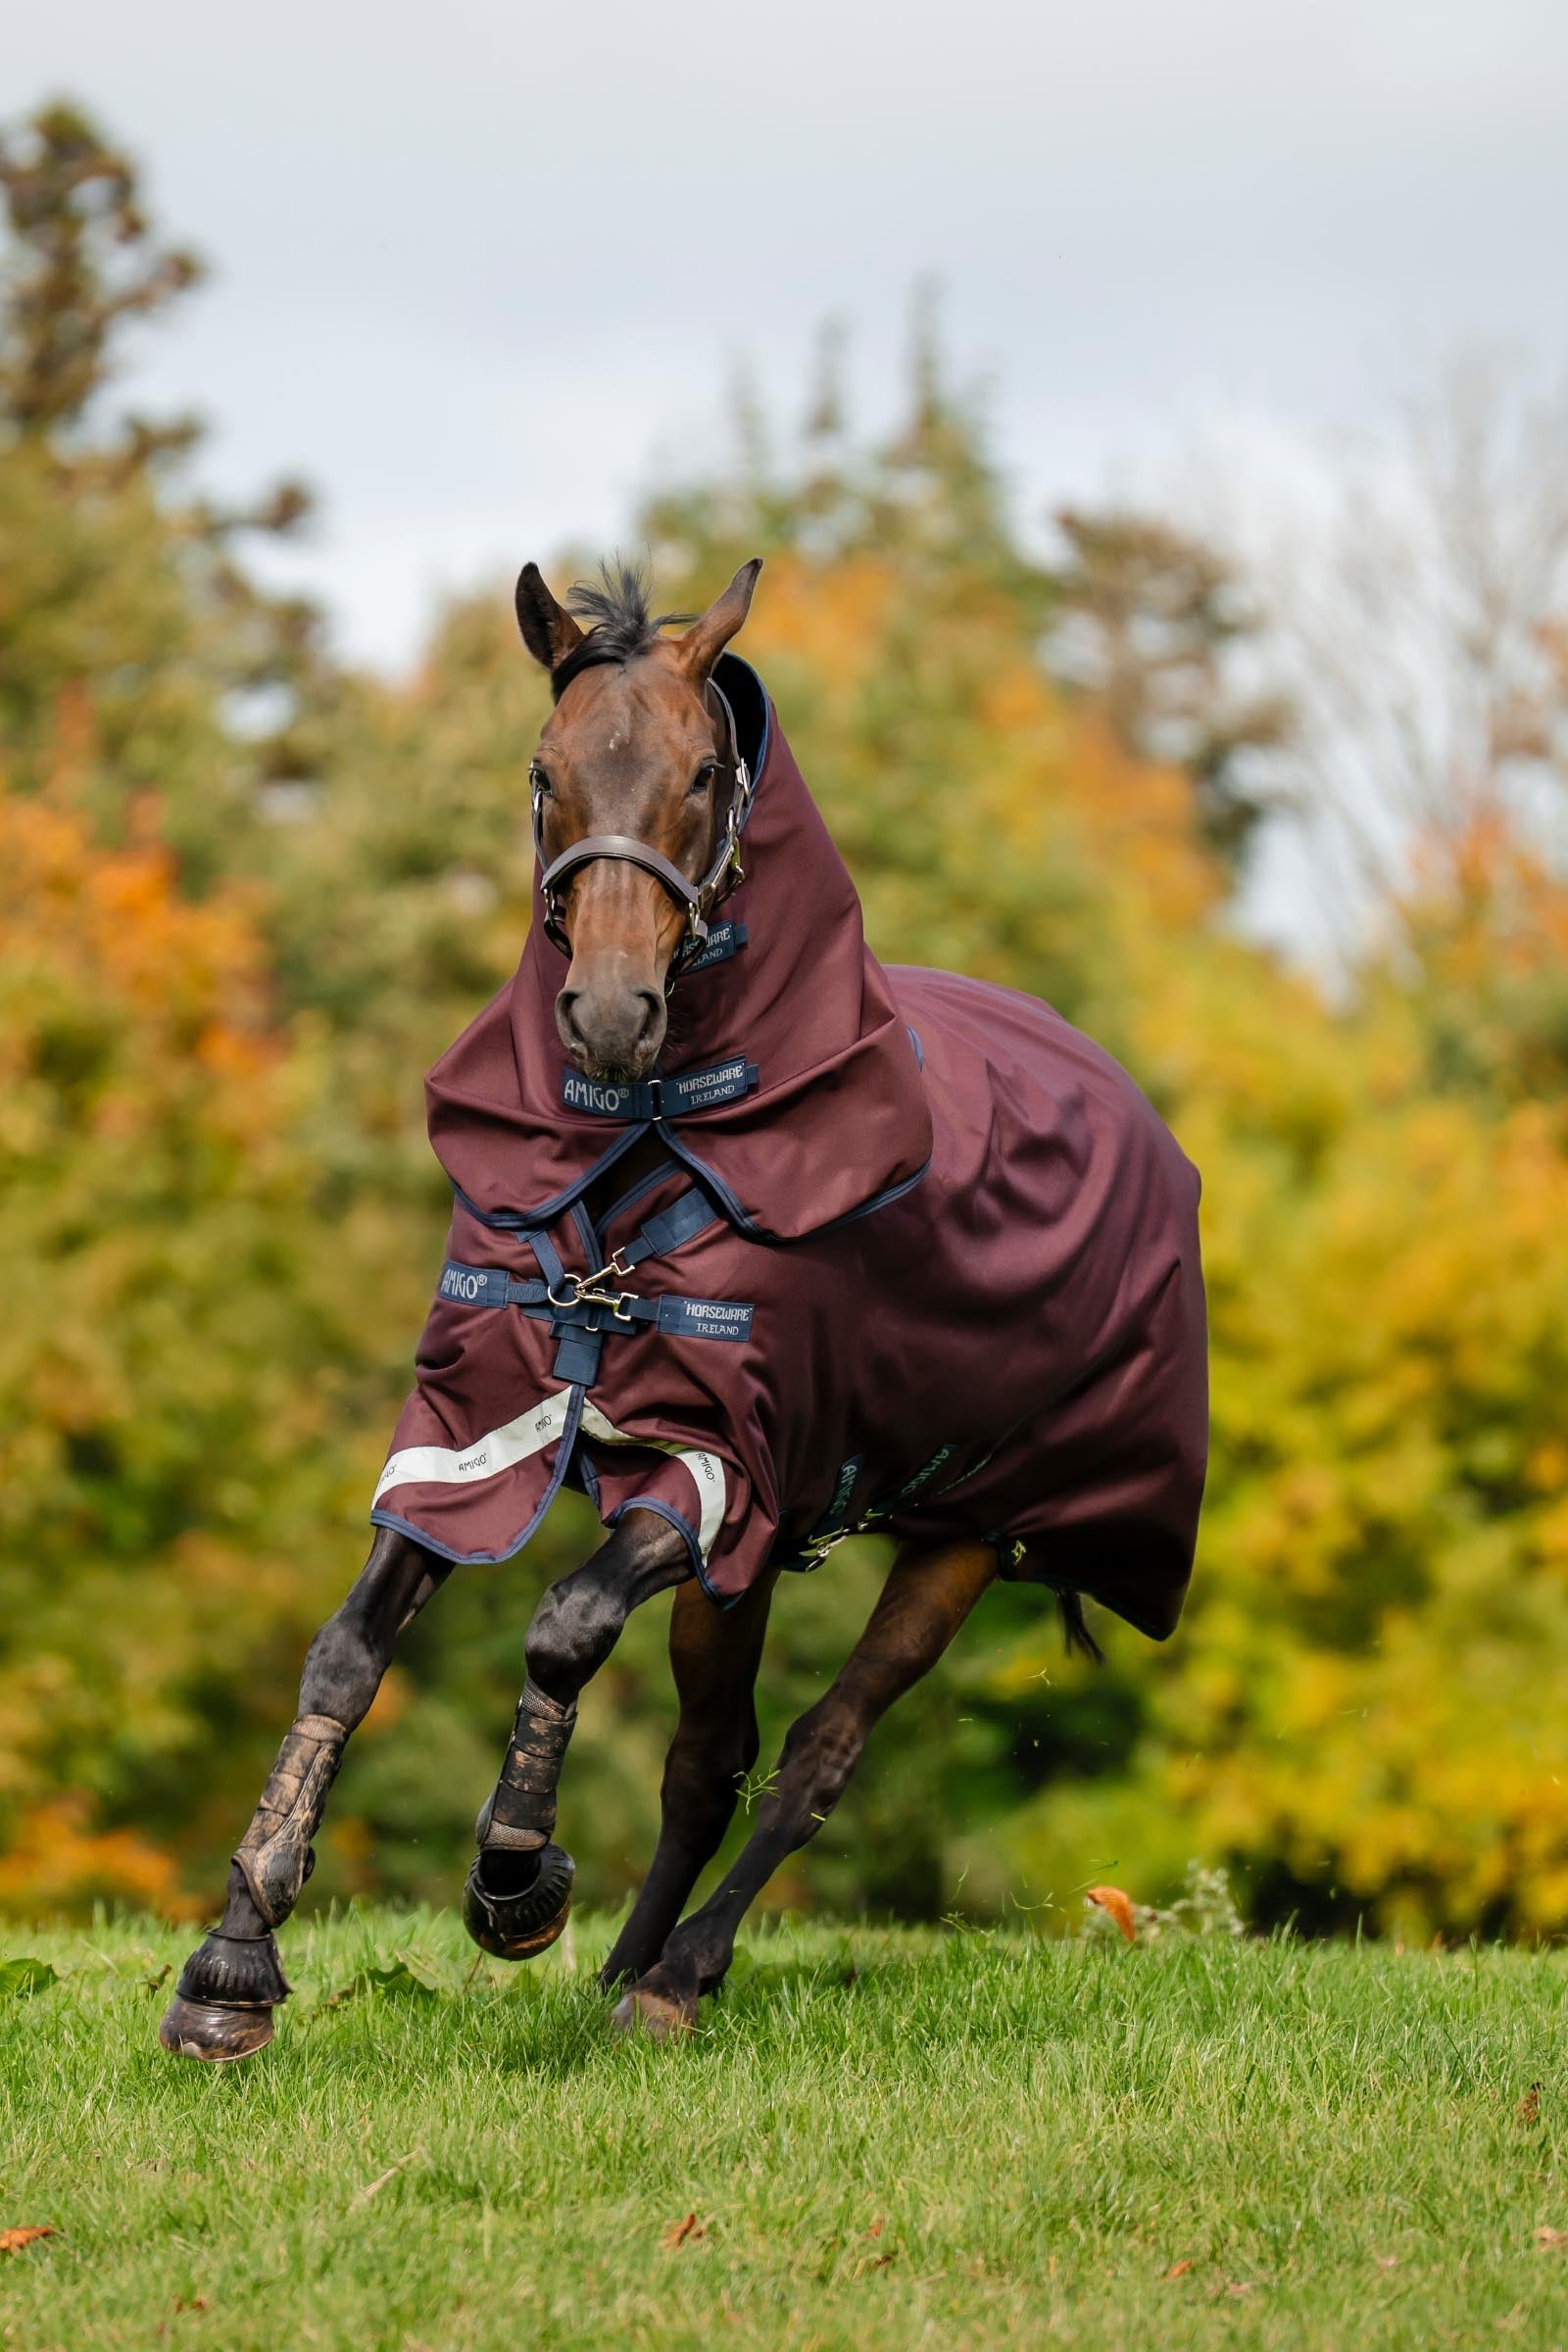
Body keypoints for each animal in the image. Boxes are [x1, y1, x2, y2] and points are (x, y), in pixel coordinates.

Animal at [161, 558, 1207, 2059]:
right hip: (757, 1566)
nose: (609, 1013)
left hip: (957, 1539)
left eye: (705, 773)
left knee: (818, 1752)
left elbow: (562, 1626)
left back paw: (676, 1972)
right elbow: (346, 1654)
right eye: (543, 771)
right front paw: (233, 1960)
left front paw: (514, 1881)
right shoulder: (475, 1437)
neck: (645, 1156)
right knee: (707, 1763)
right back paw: (631, 1968)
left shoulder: (715, 1468)